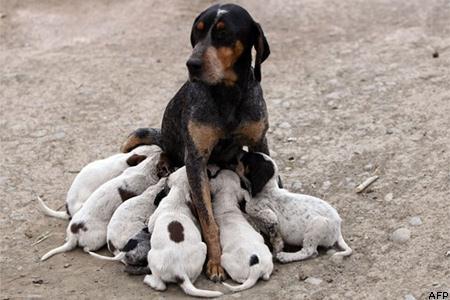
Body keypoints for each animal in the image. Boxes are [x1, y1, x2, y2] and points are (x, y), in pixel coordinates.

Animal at [143, 166, 222, 298]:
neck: (178, 196)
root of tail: (180, 272)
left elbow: (150, 224)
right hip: (203, 247)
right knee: (193, 279)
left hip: (151, 256)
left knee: (160, 285)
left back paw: (148, 279)